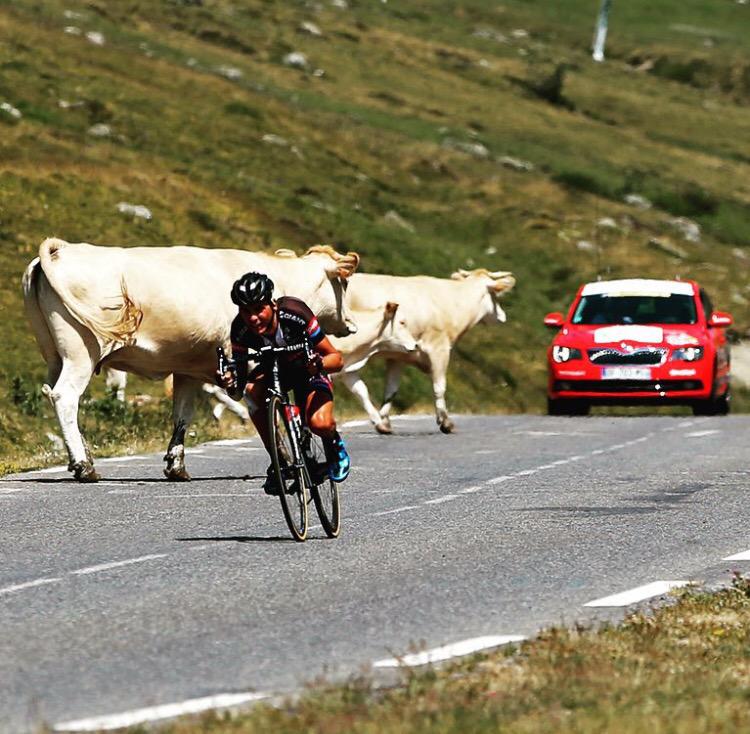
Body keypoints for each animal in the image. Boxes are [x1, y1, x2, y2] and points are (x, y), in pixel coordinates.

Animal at [23, 242, 362, 484]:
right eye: (344, 284)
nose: (351, 323)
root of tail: (62, 248)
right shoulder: (249, 364)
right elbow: (267, 413)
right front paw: (284, 459)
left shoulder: (188, 370)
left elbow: (182, 415)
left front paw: (176, 465)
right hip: (81, 352)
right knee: (65, 397)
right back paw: (84, 466)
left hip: (54, 355)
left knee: (53, 393)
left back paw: (83, 457)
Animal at [340, 268, 516, 434]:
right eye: (495, 295)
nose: (503, 316)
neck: (454, 304)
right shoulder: (439, 348)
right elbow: (439, 386)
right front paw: (445, 422)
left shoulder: (398, 355)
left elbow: (391, 389)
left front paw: (384, 422)